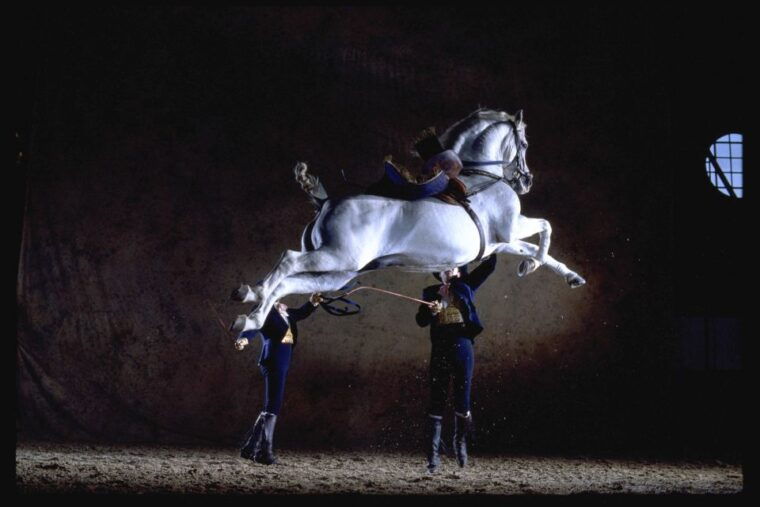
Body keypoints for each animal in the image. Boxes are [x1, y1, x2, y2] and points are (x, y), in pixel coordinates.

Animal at [230, 108, 586, 337]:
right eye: (524, 143)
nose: (526, 181)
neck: (480, 177)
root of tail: (325, 202)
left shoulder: (501, 241)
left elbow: (535, 246)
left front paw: (568, 276)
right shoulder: (511, 228)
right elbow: (545, 227)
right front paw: (531, 266)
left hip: (337, 274)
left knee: (288, 284)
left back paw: (249, 315)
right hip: (335, 257)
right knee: (287, 261)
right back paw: (252, 295)